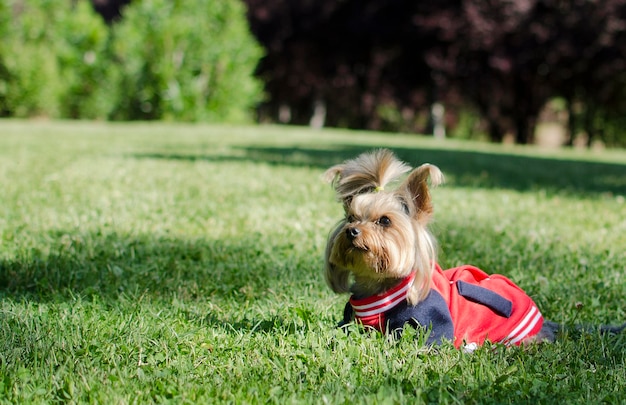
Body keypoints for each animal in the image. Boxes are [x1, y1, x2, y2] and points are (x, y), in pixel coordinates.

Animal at [324, 148, 620, 348]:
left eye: (384, 221)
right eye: (351, 218)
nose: (352, 231)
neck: (378, 286)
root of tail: (544, 323)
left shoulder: (431, 320)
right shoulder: (352, 318)